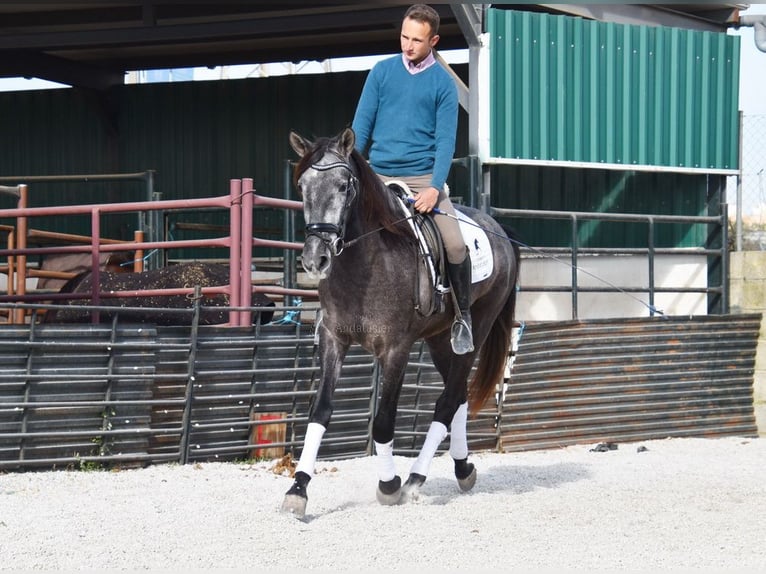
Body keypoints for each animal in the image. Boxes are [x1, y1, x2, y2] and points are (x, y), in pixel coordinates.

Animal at [282, 128, 520, 520]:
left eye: (344, 186)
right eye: (302, 186)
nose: (315, 259)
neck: (365, 262)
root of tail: (498, 228)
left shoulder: (395, 349)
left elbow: (382, 422)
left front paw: (389, 485)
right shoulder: (333, 340)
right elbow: (320, 413)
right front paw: (298, 489)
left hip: (476, 329)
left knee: (449, 399)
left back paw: (414, 479)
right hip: (439, 340)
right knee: (457, 398)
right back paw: (462, 468)